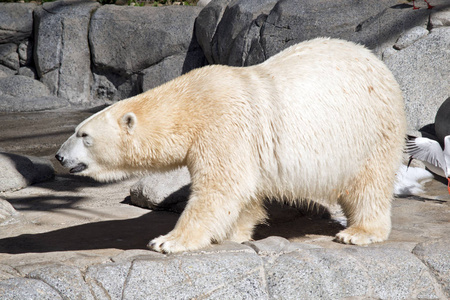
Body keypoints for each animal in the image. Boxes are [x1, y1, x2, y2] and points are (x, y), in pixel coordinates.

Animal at [55, 37, 404, 253]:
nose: (59, 156)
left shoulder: (222, 124)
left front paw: (167, 241)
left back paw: (358, 233)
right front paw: (235, 235)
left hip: (369, 129)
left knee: (369, 183)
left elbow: (219, 187)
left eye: (84, 136)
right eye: (76, 131)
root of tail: (378, 63)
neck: (188, 105)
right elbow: (245, 194)